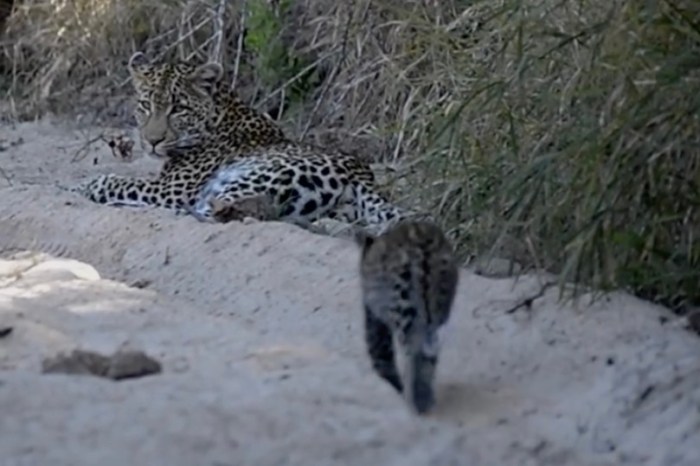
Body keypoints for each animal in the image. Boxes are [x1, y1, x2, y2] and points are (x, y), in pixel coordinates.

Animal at [66, 51, 412, 232]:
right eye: (145, 105)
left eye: (178, 108)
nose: (152, 141)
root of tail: (362, 175)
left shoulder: (171, 189)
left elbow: (115, 181)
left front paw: (82, 186)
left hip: (246, 178)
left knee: (221, 211)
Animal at [355, 220, 459, 414]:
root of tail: (423, 247)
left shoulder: (374, 319)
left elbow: (381, 356)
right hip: (435, 314)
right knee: (428, 355)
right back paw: (424, 402)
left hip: (403, 312)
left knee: (412, 354)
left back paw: (411, 402)